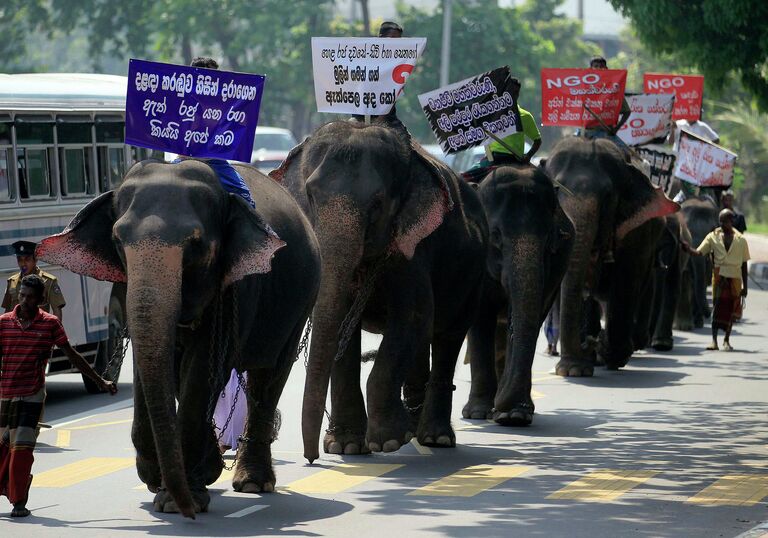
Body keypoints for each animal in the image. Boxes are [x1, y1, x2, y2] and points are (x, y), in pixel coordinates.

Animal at [35, 159, 318, 516]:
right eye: (117, 239)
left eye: (196, 242)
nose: (109, 386)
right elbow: (153, 367)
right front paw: (162, 480)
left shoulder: (236, 289)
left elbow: (202, 370)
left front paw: (179, 499)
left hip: (300, 302)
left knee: (269, 375)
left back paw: (253, 483)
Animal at [276, 120, 488, 460]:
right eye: (309, 194)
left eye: (377, 203)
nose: (311, 457)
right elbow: (342, 328)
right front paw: (346, 446)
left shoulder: (413, 248)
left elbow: (413, 316)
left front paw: (389, 441)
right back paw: (414, 426)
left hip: (473, 275)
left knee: (448, 336)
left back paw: (434, 437)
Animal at [460, 163, 572, 422]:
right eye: (495, 235)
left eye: (550, 240)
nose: (496, 408)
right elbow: (481, 318)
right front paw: (477, 413)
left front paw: (514, 415)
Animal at [544, 136, 680, 374]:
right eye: (555, 191)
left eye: (608, 196)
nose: (589, 343)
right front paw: (576, 369)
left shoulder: (637, 231)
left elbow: (625, 280)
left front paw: (608, 353)